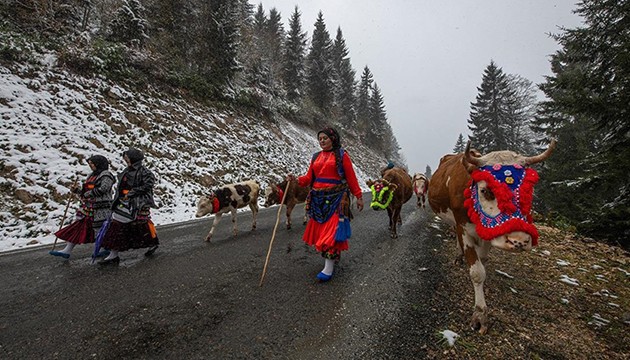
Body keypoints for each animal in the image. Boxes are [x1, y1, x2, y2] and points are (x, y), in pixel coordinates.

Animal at [430, 139, 556, 334]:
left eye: (528, 191)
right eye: (486, 190)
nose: (519, 241)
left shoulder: (488, 235)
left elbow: (482, 263)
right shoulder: (463, 227)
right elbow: (476, 272)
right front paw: (479, 315)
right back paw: (458, 256)